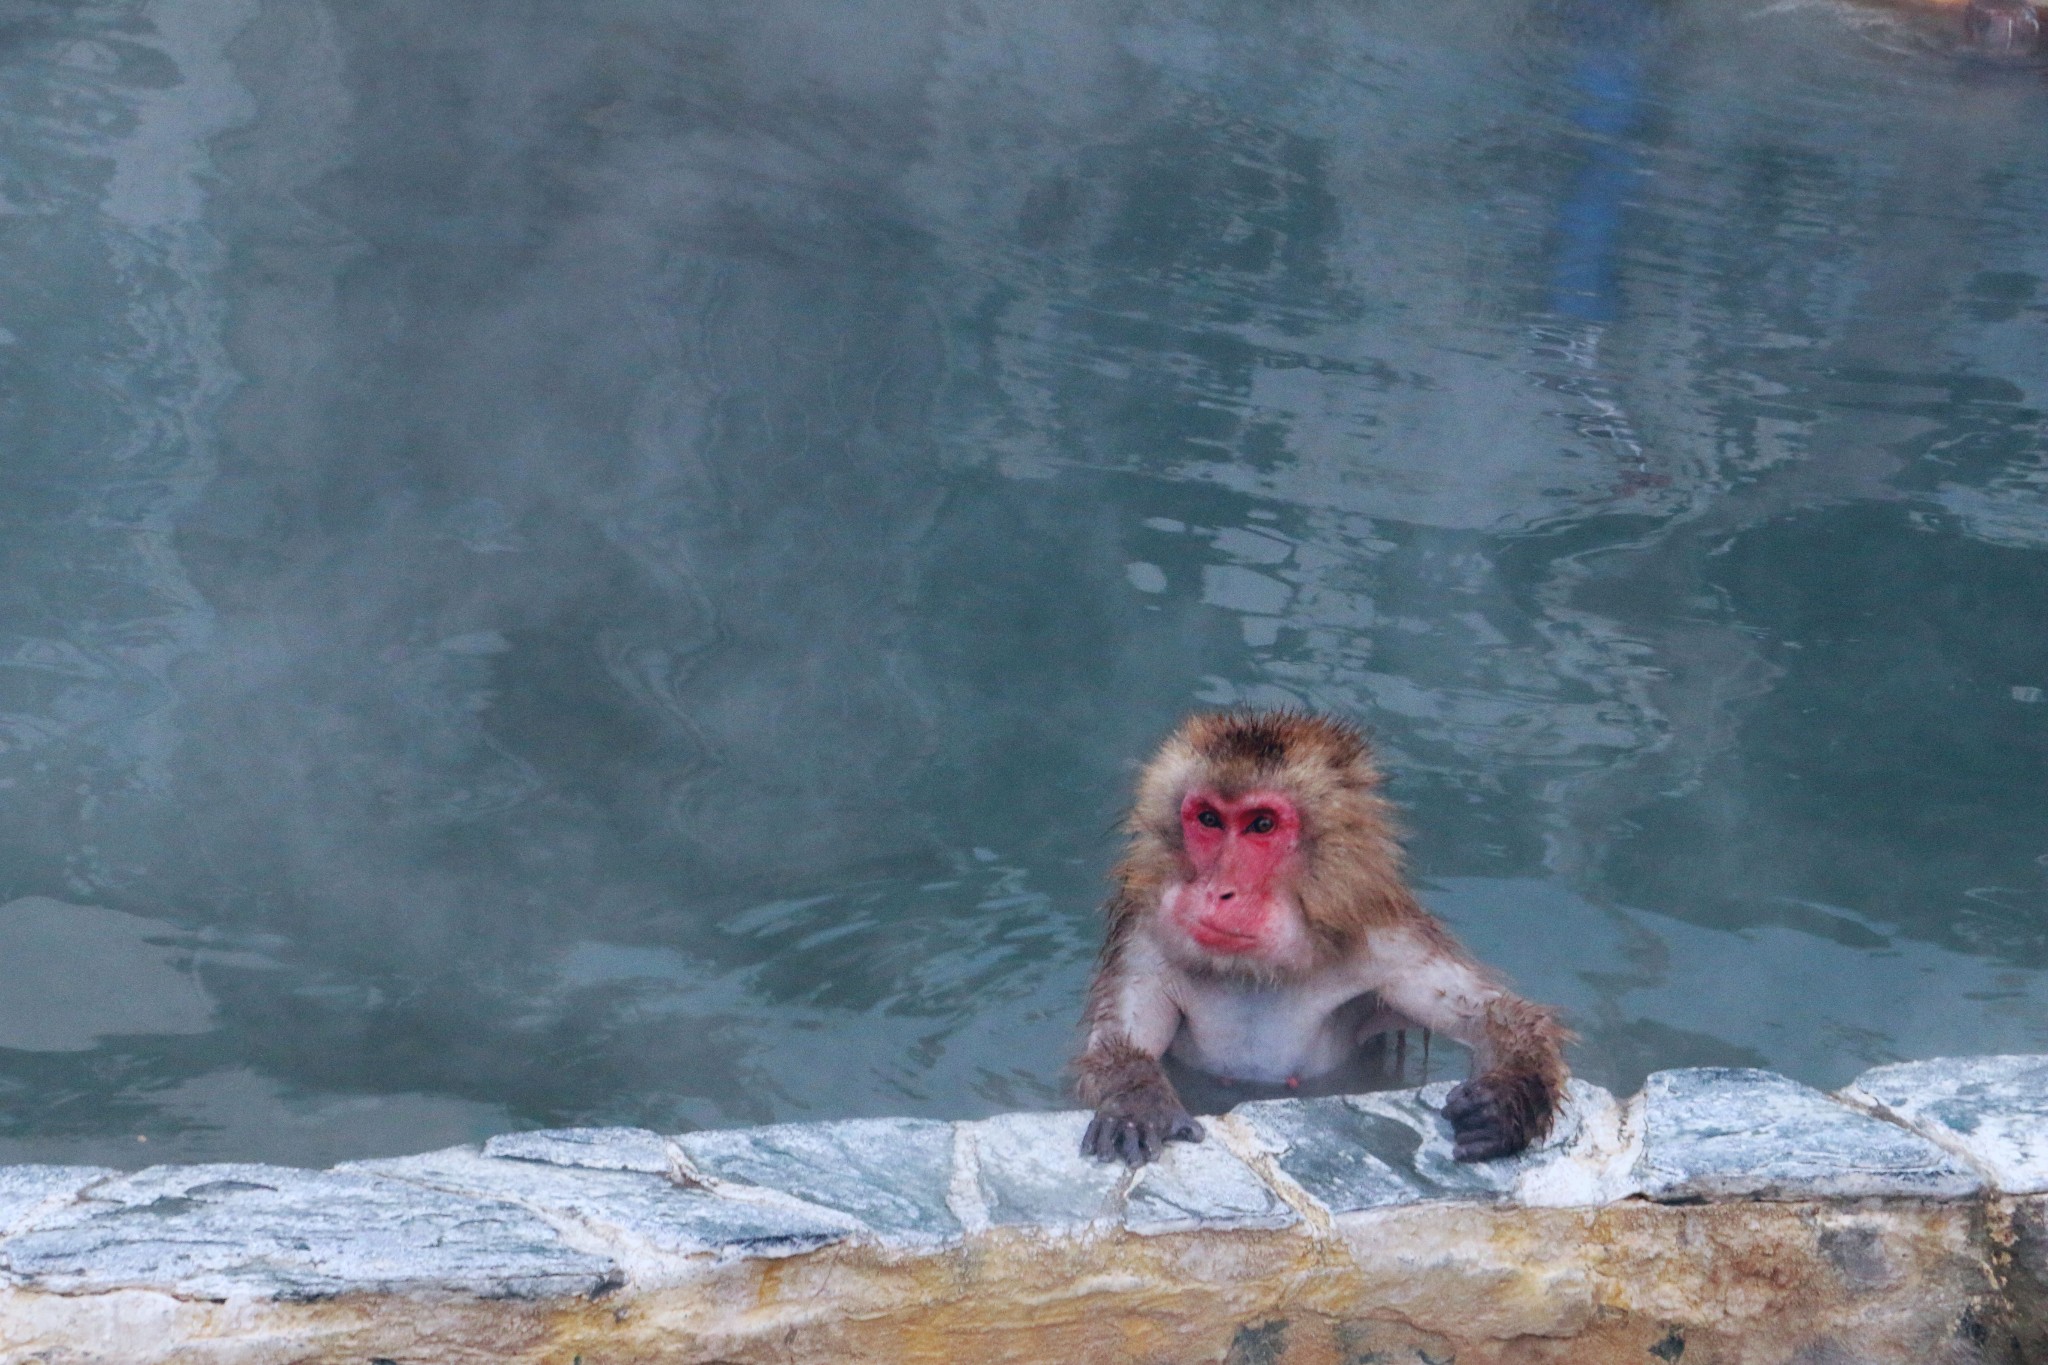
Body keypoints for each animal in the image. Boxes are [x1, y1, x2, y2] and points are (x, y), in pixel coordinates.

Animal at [1073, 712, 1564, 1170]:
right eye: (1209, 820)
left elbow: (1494, 1016)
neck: (1255, 971)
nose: (1218, 892)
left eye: (1262, 825)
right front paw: (1135, 1099)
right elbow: (1120, 1038)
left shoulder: (1391, 950)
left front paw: (1506, 1101)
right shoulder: (1145, 937)